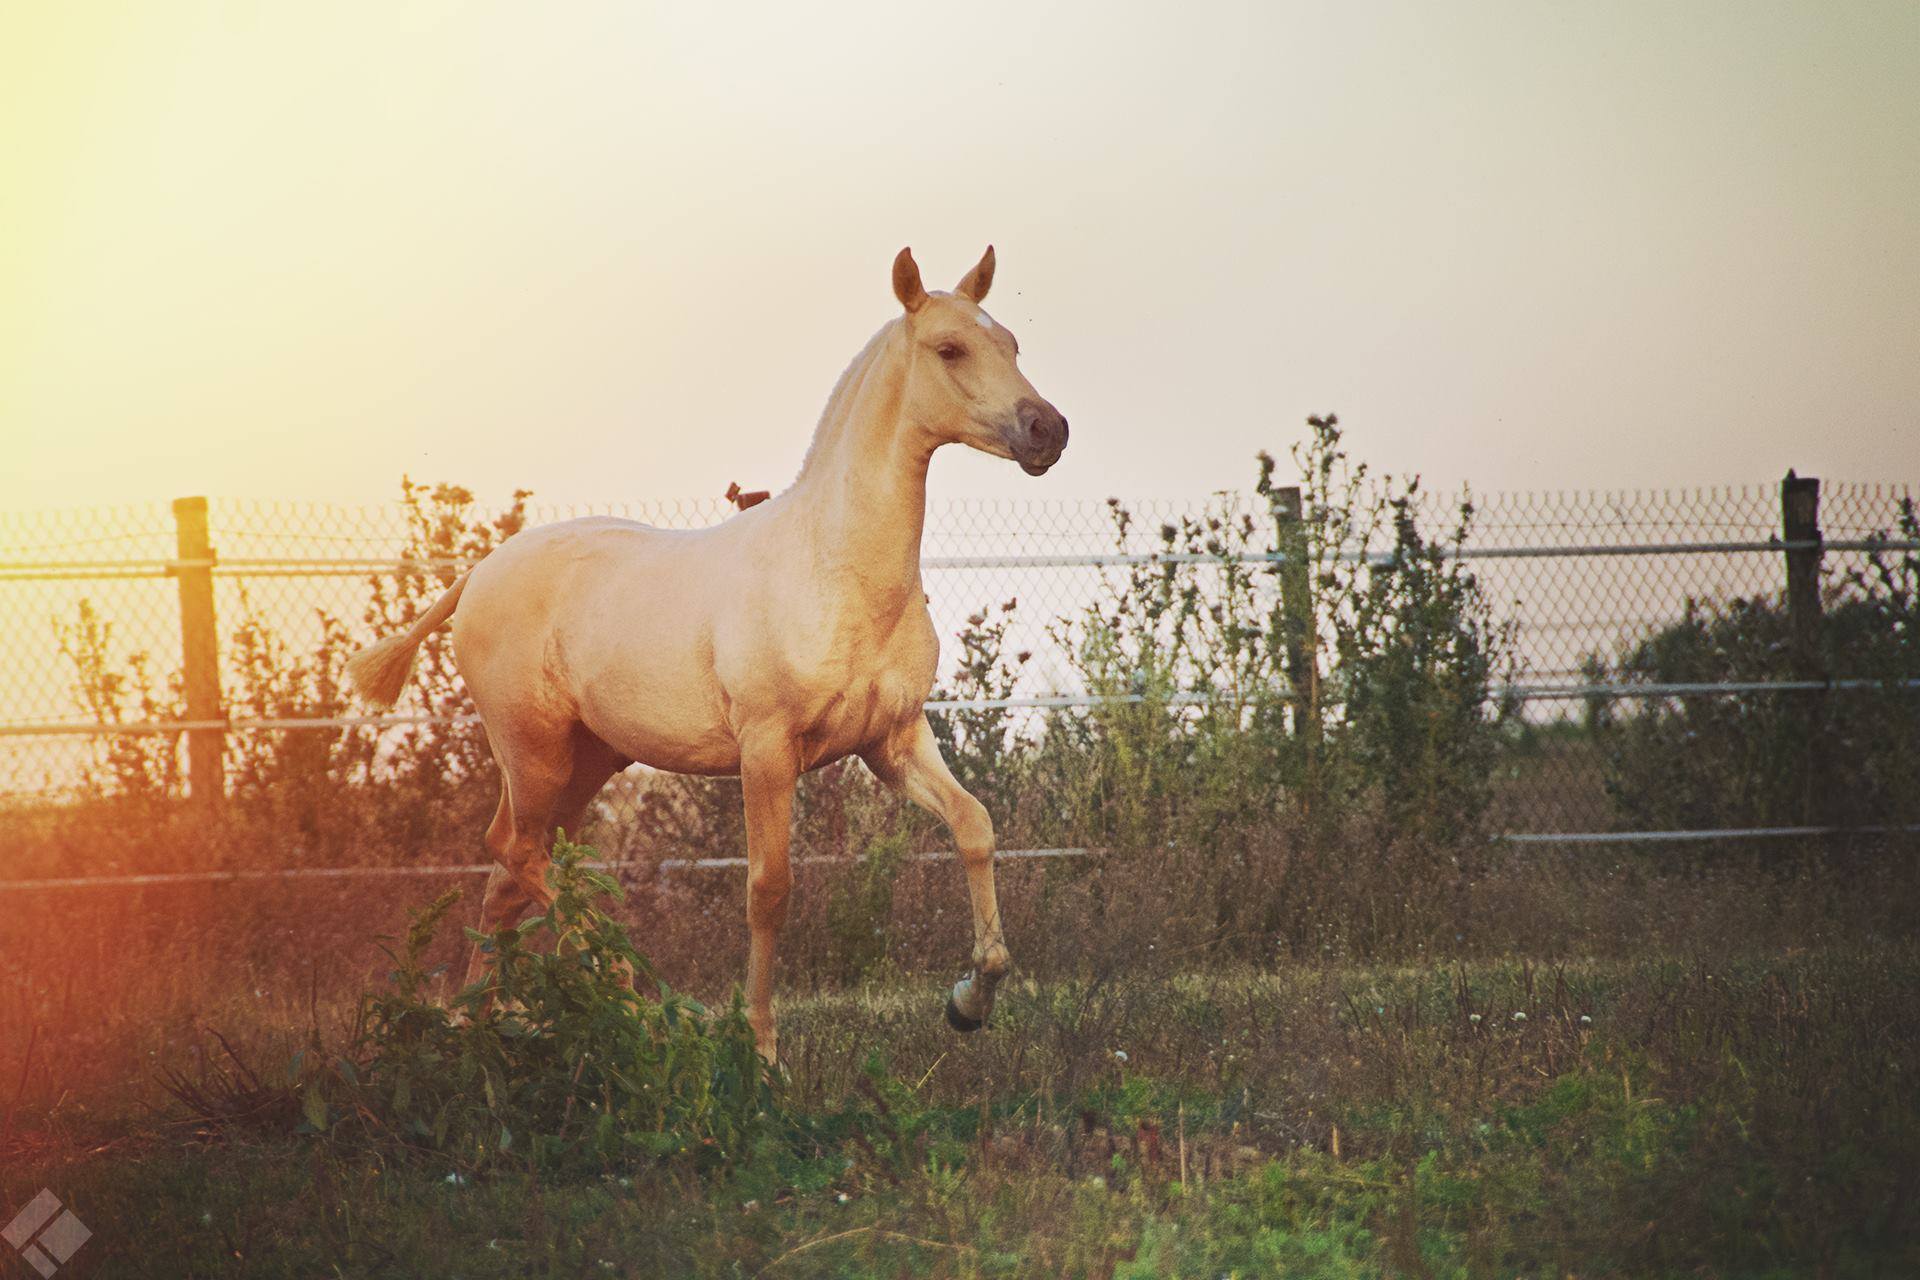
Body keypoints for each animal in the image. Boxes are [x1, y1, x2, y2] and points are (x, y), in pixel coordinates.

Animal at [343, 246, 1069, 1062]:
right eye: (949, 349)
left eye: (1011, 342)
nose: (1048, 430)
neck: (832, 566)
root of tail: (477, 575)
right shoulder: (767, 750)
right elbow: (769, 890)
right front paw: (761, 1049)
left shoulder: (893, 740)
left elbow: (974, 827)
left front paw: (969, 1001)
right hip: (534, 753)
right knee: (516, 852)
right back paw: (633, 1005)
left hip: (584, 763)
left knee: (510, 871)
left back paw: (478, 1029)